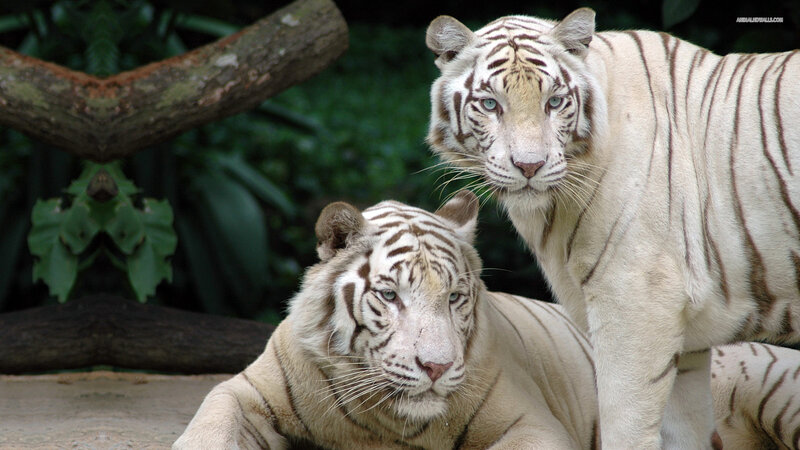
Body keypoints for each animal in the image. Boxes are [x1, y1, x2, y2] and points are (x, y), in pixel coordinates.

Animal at [173, 191, 800, 449]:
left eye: (454, 297)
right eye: (389, 296)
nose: (435, 367)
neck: (380, 423)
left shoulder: (531, 424)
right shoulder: (245, 390)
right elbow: (210, 423)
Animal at [425, 8, 800, 449]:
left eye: (554, 102)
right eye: (489, 104)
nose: (530, 166)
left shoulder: (635, 305)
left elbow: (625, 425)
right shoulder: (687, 344)